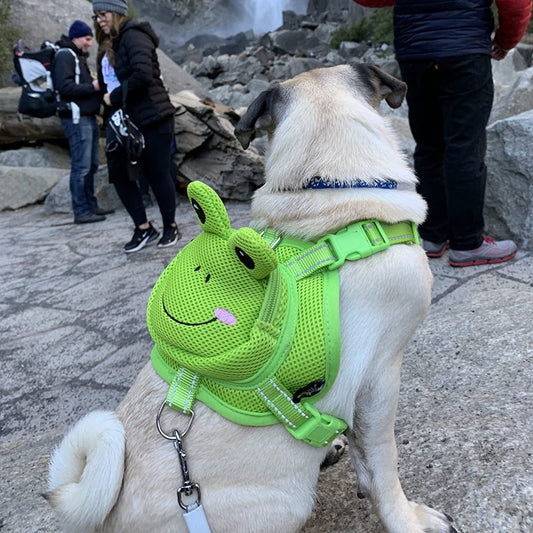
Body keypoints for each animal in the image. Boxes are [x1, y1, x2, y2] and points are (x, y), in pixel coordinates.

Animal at [45, 63, 456, 532]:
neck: (328, 191)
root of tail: (106, 522)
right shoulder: (380, 377)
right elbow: (382, 466)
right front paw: (408, 518)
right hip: (285, 501)